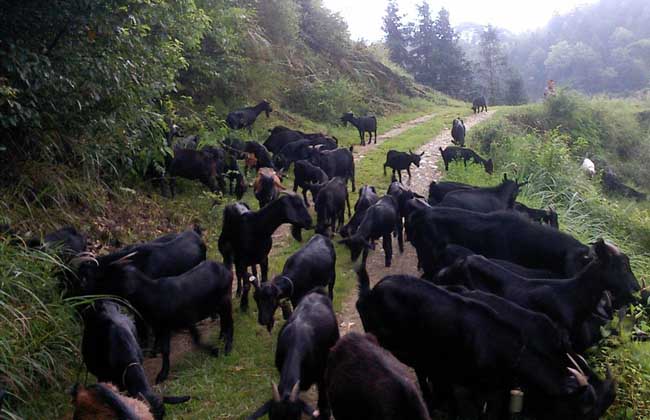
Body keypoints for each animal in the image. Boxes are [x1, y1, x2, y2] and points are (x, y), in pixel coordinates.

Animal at [89, 262, 233, 384]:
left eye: (111, 279)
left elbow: (196, 339)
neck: (153, 295)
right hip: (215, 305)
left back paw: (228, 348)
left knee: (229, 322)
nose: (93, 295)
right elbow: (165, 350)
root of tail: (225, 269)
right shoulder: (163, 327)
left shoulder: (188, 320)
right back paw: (222, 337)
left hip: (225, 300)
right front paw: (162, 374)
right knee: (224, 320)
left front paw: (214, 350)